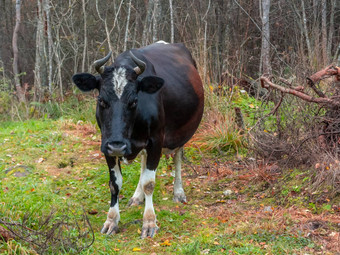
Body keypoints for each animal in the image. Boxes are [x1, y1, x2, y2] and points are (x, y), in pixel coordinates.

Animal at [72, 40, 203, 238]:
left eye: (134, 100)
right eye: (101, 100)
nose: (118, 146)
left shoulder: (156, 141)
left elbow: (149, 183)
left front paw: (149, 222)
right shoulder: (106, 143)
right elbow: (114, 184)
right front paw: (111, 220)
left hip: (181, 133)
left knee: (178, 157)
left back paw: (178, 192)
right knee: (142, 160)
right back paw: (137, 196)